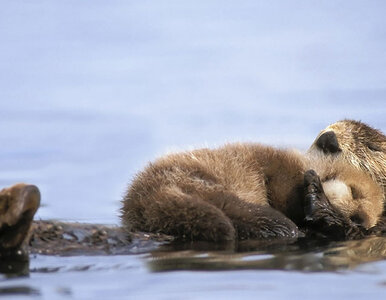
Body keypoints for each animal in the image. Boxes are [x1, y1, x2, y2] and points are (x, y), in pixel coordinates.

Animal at [121, 142, 382, 241]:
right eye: (355, 192)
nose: (360, 219)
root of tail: (144, 196)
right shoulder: (284, 168)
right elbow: (282, 185)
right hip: (204, 185)